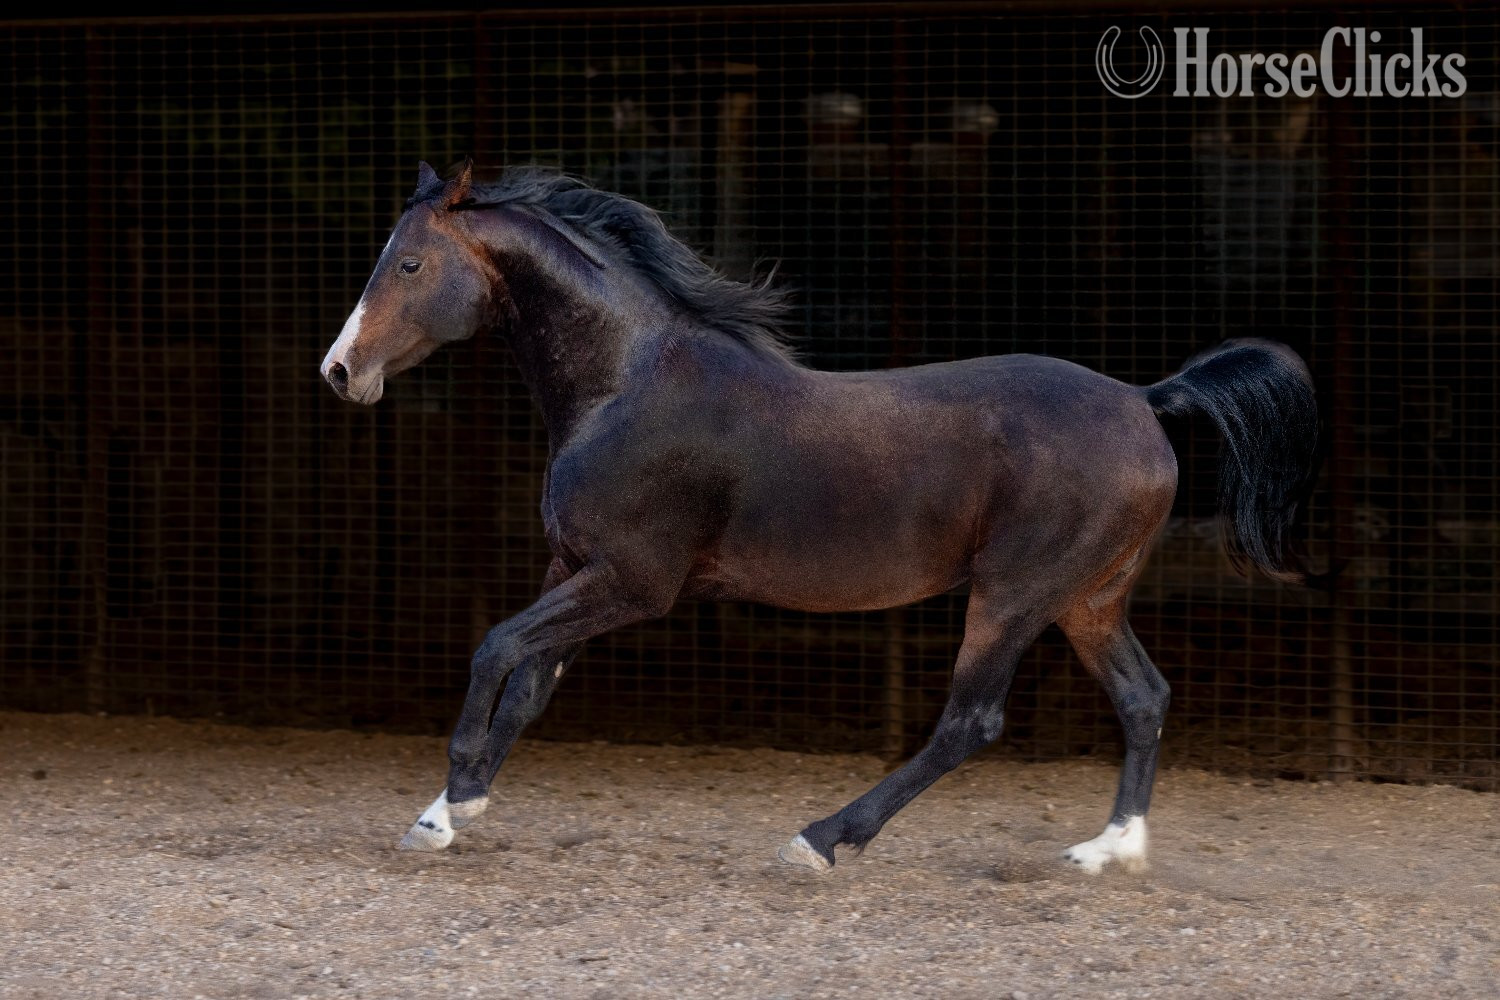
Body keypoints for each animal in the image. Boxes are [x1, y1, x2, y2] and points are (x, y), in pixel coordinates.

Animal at [321, 160, 1319, 874]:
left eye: (409, 262)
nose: (339, 371)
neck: (627, 385)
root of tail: (1150, 402)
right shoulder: (572, 568)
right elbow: (528, 682)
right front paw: (446, 815)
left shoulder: (635, 584)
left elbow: (496, 647)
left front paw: (451, 799)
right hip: (1088, 599)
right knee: (1144, 697)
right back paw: (1110, 851)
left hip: (1015, 594)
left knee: (971, 721)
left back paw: (822, 839)